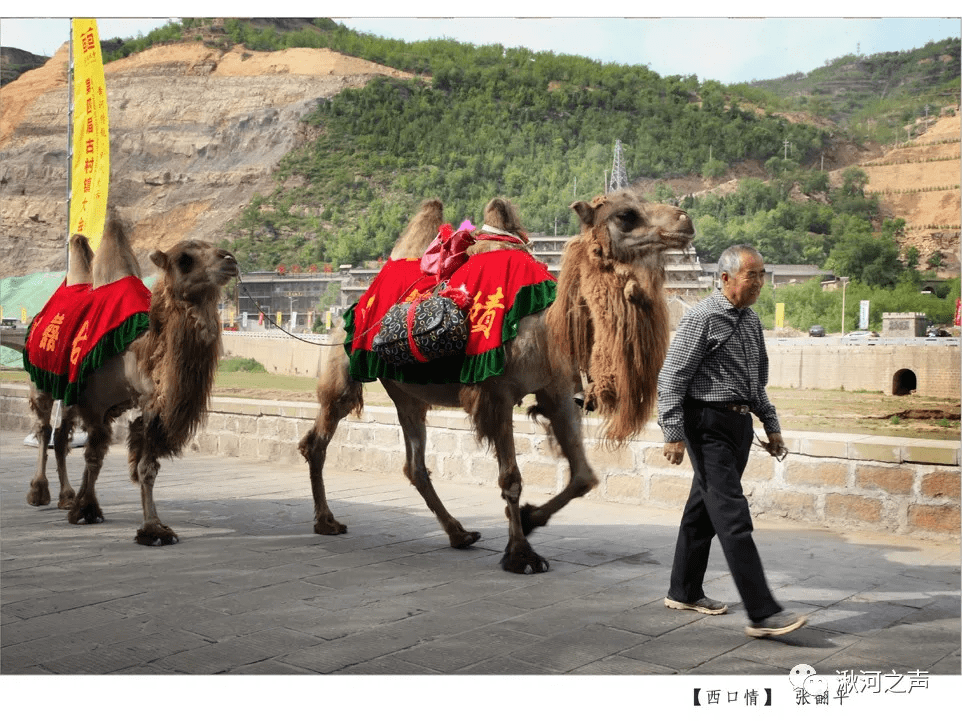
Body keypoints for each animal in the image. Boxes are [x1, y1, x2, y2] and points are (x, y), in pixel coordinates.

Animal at [23, 218, 237, 544]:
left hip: (69, 389)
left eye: (214, 247)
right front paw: (89, 509)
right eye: (184, 259)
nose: (230, 260)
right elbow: (94, 457)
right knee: (45, 428)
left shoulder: (149, 403)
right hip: (41, 377)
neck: (139, 351)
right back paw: (39, 492)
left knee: (60, 436)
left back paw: (67, 496)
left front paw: (154, 528)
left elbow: (146, 467)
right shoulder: (95, 403)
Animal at [296, 189, 692, 576]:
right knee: (320, 436)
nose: (685, 221)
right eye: (626, 215)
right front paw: (521, 554)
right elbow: (511, 478)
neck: (547, 326)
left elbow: (584, 476)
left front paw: (530, 518)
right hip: (343, 363)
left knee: (414, 464)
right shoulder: (496, 393)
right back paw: (327, 521)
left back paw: (459, 533)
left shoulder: (558, 391)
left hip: (407, 394)